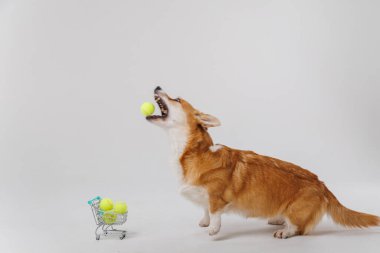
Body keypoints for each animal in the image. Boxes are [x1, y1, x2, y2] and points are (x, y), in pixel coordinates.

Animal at [146, 86, 380, 238]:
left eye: (177, 99)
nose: (157, 86)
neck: (192, 152)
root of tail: (322, 185)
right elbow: (205, 209)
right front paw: (204, 222)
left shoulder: (216, 197)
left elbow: (214, 212)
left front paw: (213, 229)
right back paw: (278, 219)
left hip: (296, 211)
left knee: (299, 228)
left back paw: (284, 230)